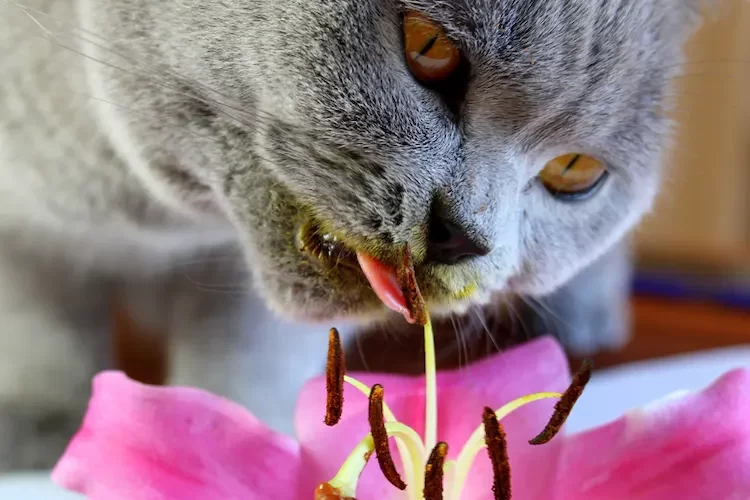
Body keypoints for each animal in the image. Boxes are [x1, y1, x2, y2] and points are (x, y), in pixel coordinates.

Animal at [0, 0, 712, 468]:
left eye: (574, 171)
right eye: (429, 44)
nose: (465, 236)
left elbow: (246, 359)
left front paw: (221, 431)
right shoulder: (24, 224)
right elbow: (40, 324)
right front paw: (40, 437)